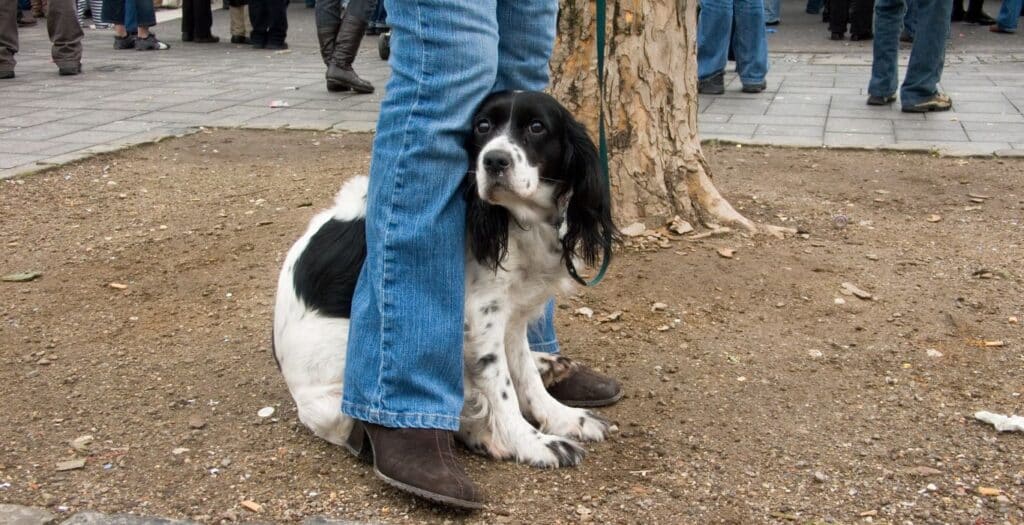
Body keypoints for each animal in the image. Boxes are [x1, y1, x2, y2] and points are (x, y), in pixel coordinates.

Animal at [272, 90, 618, 466]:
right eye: (482, 126)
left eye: (537, 127)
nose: (494, 161)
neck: (516, 221)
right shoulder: (482, 315)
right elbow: (501, 387)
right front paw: (532, 442)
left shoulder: (512, 313)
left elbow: (524, 374)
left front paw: (564, 417)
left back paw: (547, 366)